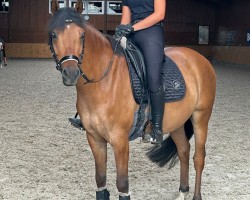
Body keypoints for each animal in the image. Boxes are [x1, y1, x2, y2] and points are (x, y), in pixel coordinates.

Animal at [48, 0, 215, 199]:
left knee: (199, 157)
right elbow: (100, 180)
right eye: (53, 35)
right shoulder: (95, 138)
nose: (71, 73)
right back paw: (182, 192)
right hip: (177, 122)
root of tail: (199, 58)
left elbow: (122, 183)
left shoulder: (120, 140)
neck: (103, 82)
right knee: (183, 150)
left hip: (201, 117)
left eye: (82, 35)